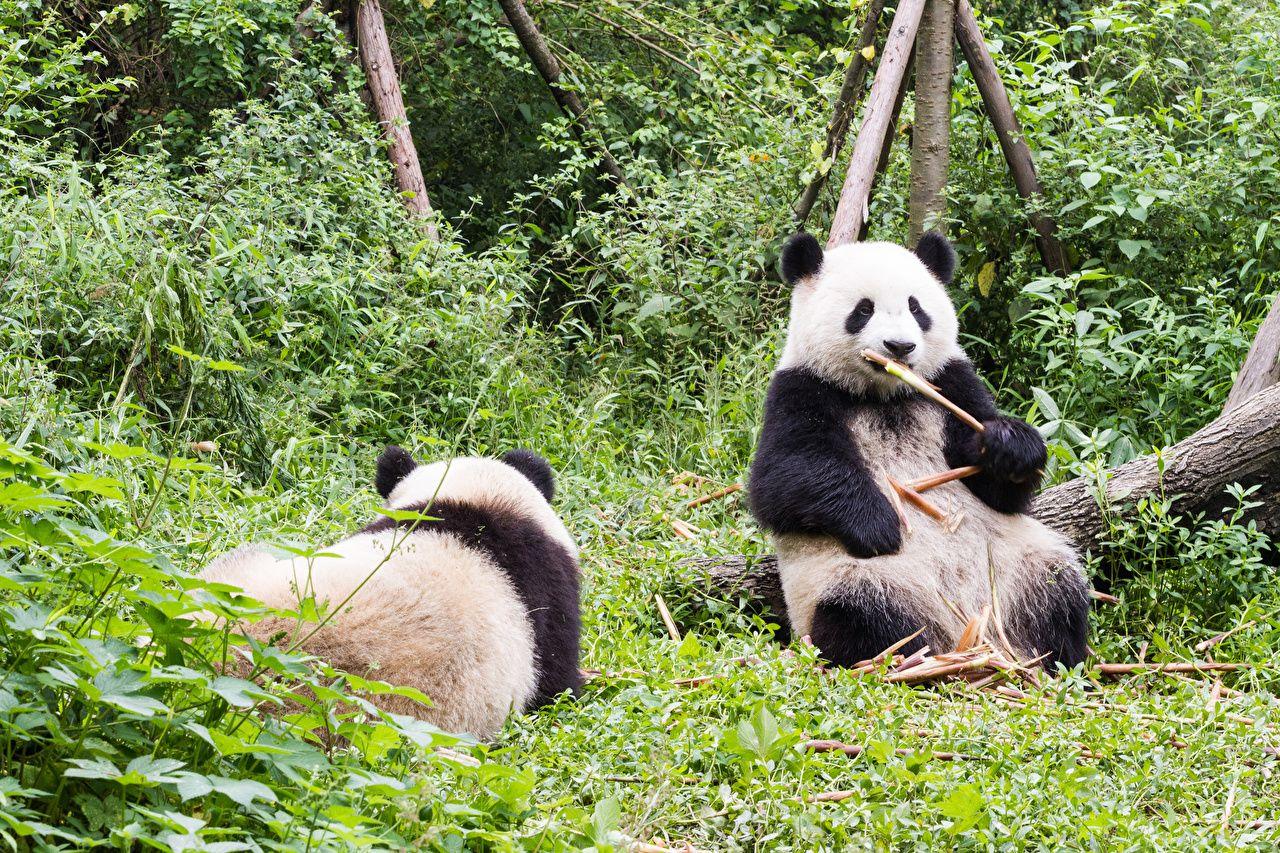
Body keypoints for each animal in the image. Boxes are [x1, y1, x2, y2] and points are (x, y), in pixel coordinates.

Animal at [748, 232, 1089, 669]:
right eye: (863, 309)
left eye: (916, 307)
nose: (900, 346)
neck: (885, 395)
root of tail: (969, 634)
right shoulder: (801, 389)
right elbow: (783, 480)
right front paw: (878, 524)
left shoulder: (950, 381)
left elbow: (1001, 491)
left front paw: (1011, 447)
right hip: (859, 581)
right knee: (865, 619)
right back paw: (907, 656)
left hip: (1018, 565)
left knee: (1058, 588)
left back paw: (1056, 658)